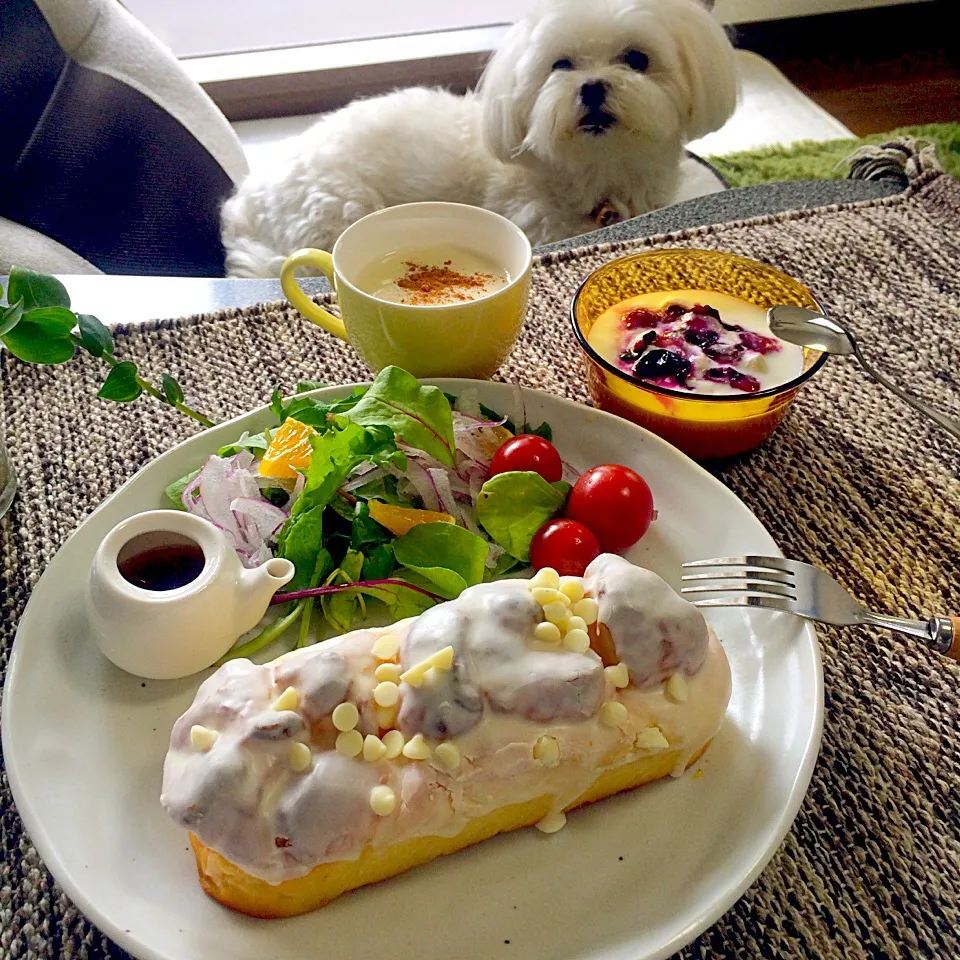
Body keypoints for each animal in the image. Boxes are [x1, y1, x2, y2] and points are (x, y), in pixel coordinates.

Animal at [223, 0, 736, 278]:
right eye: (561, 64)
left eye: (637, 59)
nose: (591, 88)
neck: (600, 169)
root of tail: (247, 202)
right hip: (337, 209)